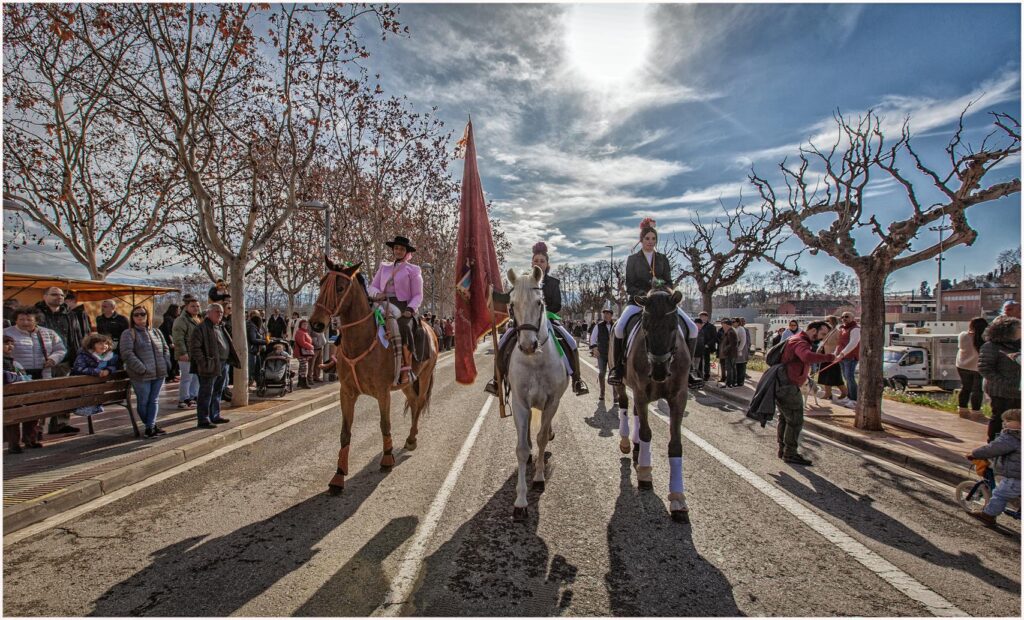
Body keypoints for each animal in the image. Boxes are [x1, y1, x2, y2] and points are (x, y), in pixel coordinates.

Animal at [309, 258, 439, 494]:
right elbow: (345, 433)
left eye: (340, 288)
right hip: (407, 384)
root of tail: (430, 328)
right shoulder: (347, 393)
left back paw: (412, 438)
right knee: (414, 401)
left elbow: (384, 424)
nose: (316, 323)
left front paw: (387, 459)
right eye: (322, 283)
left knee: (419, 403)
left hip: (424, 376)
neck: (361, 341)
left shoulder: (382, 392)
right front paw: (338, 476)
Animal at [609, 288, 693, 523]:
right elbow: (647, 433)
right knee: (625, 406)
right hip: (623, 384)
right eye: (645, 327)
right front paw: (645, 473)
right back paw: (627, 442)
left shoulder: (679, 398)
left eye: (673, 326)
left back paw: (637, 449)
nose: (659, 371)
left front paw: (678, 498)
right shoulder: (640, 392)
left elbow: (675, 444)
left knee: (637, 413)